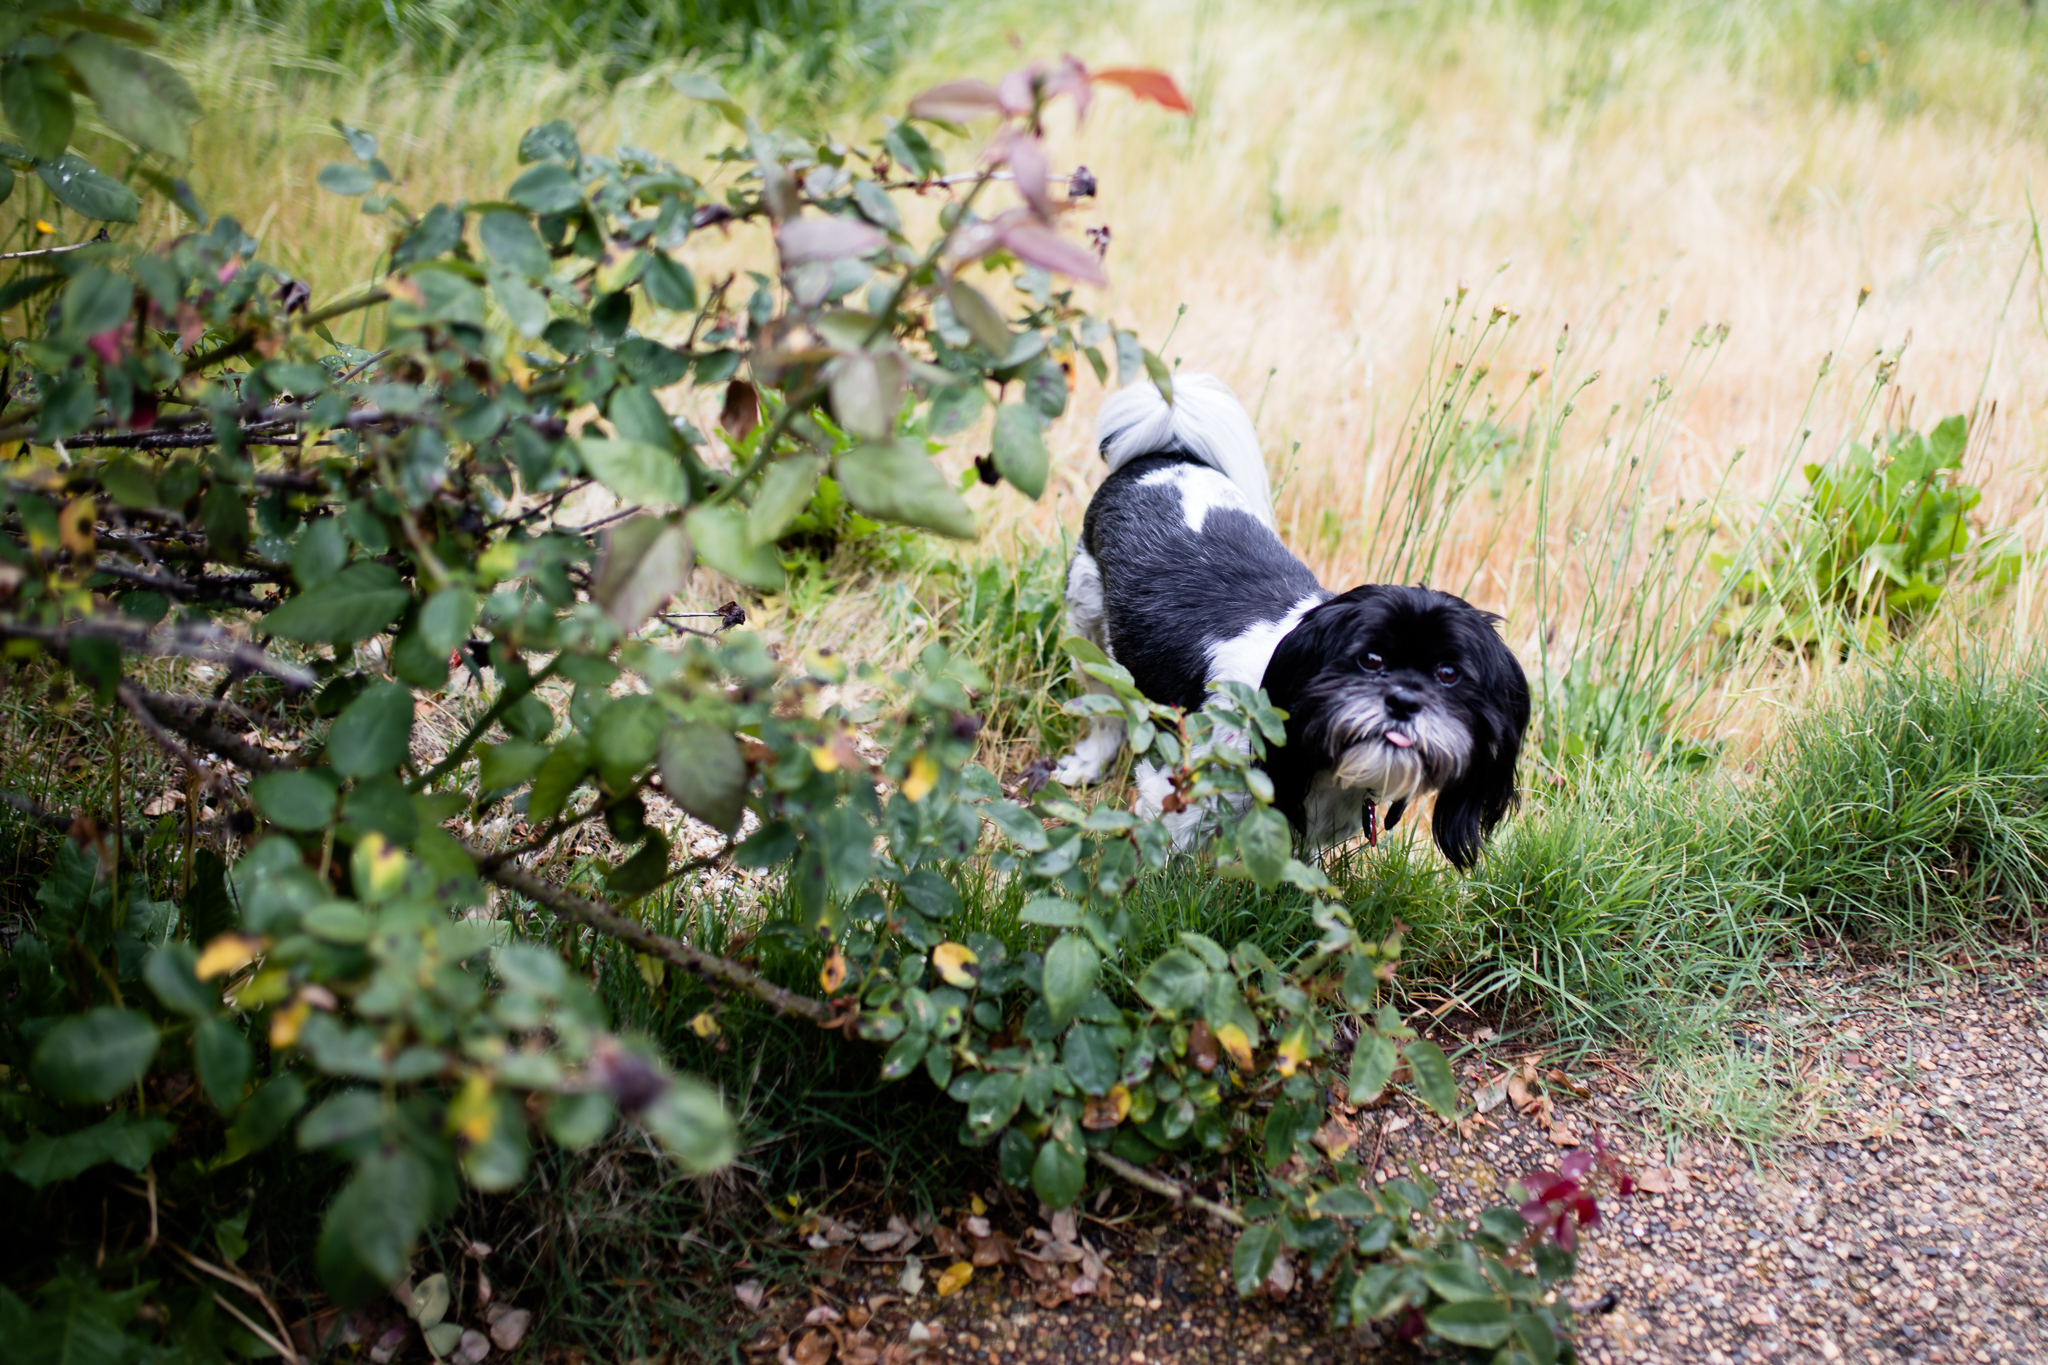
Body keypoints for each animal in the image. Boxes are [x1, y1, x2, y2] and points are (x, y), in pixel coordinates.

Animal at [1056, 374, 1540, 863]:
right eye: (1370, 660)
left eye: (1448, 674)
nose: (1403, 701)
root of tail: (1170, 455)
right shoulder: (1180, 797)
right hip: (1088, 625)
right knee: (1106, 707)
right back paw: (1086, 764)